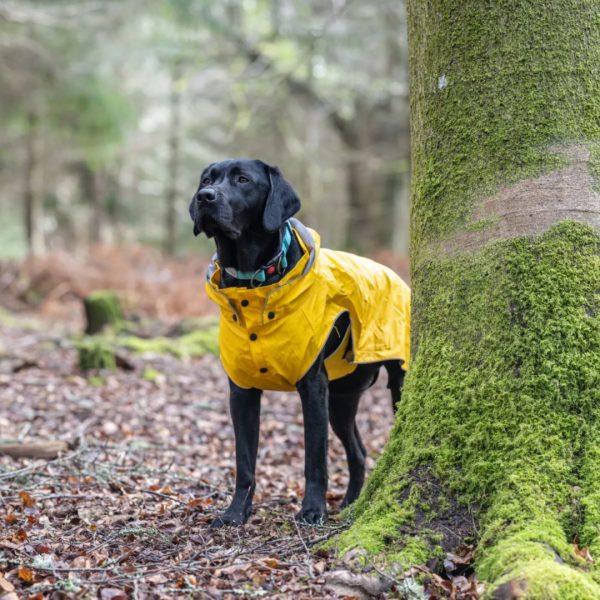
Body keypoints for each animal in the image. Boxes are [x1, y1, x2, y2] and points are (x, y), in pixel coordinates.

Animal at [190, 159, 410, 524]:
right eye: (207, 179)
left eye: (243, 179)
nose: (205, 196)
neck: (252, 283)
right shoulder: (242, 391)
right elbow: (244, 462)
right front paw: (236, 513)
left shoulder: (313, 387)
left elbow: (315, 460)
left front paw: (312, 510)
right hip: (342, 399)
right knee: (359, 452)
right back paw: (350, 503)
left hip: (395, 383)